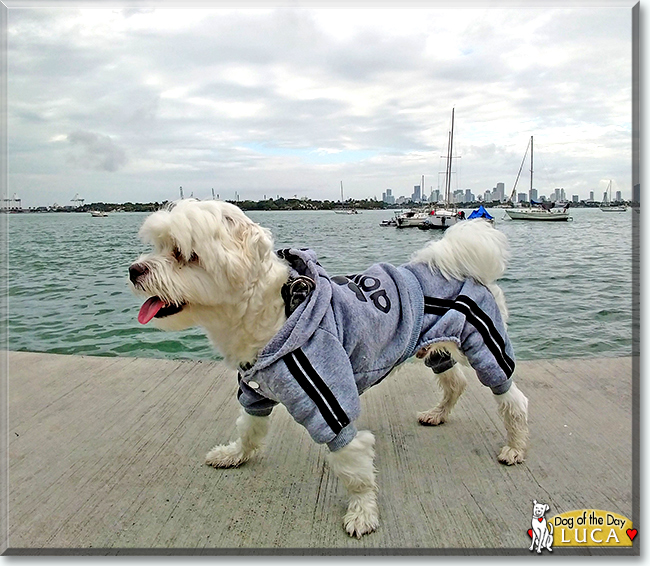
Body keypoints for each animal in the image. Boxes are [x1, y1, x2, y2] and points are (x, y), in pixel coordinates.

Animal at [128, 201, 528, 540]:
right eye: (159, 246)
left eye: (183, 255)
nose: (134, 270)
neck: (275, 312)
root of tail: (461, 263)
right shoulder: (255, 391)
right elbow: (249, 429)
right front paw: (234, 455)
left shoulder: (326, 397)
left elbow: (353, 465)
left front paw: (363, 513)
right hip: (436, 347)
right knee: (454, 382)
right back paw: (439, 414)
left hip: (481, 345)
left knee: (512, 399)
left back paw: (514, 447)